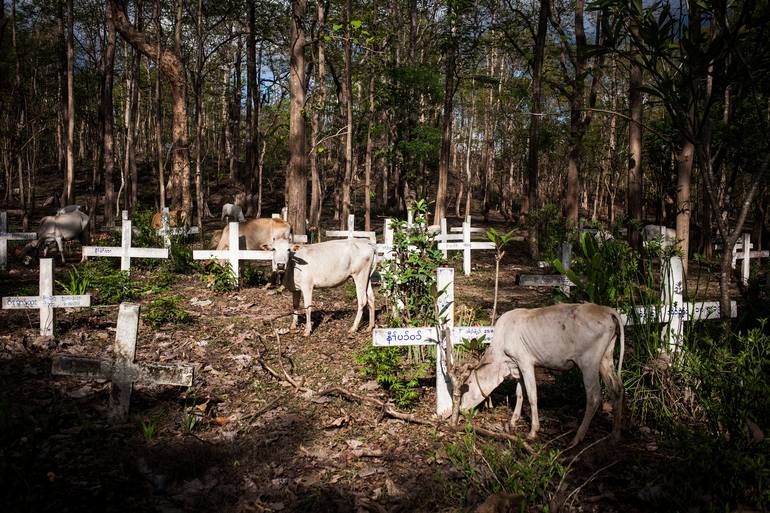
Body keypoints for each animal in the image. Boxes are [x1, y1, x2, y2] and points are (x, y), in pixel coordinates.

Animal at [460, 302, 620, 446]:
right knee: (617, 389)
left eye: (466, 387)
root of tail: (607, 310)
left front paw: (533, 432)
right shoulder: (517, 366)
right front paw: (513, 420)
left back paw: (577, 438)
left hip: (589, 364)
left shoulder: (525, 363)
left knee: (594, 397)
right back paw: (614, 435)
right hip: (606, 359)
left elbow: (532, 395)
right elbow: (519, 392)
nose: (460, 409)